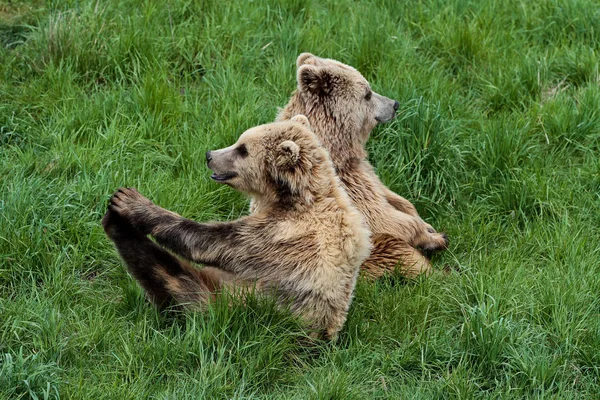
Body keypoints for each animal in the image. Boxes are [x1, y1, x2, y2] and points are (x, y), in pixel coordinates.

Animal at [102, 115, 370, 340]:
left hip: (247, 307)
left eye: (243, 150)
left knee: (177, 282)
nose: (209, 155)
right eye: (240, 140)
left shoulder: (282, 236)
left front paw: (132, 202)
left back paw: (117, 224)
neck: (291, 198)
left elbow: (209, 242)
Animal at [274, 53, 448, 278]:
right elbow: (382, 218)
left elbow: (394, 198)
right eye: (367, 93)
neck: (340, 150)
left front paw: (428, 226)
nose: (395, 104)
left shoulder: (364, 171)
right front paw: (436, 237)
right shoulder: (343, 185)